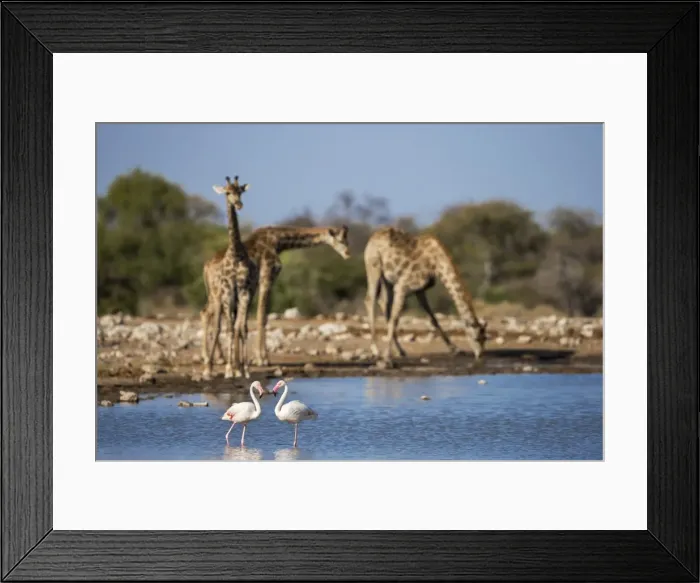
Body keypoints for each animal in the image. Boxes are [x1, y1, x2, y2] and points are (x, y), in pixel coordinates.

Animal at [200, 175, 258, 380]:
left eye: (240, 191)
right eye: (227, 192)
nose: (238, 205)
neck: (236, 254)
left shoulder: (244, 292)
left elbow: (241, 328)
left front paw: (243, 369)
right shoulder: (227, 293)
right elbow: (229, 329)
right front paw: (228, 369)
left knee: (232, 325)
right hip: (216, 296)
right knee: (214, 322)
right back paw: (208, 366)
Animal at [204, 225, 351, 366]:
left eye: (346, 238)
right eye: (341, 239)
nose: (348, 254)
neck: (277, 241)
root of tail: (206, 268)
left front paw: (253, 358)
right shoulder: (267, 277)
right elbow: (262, 316)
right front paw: (261, 359)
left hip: (216, 294)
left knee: (206, 314)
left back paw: (214, 358)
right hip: (220, 293)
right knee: (211, 316)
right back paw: (214, 358)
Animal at [363, 226, 488, 366]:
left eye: (485, 338)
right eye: (476, 338)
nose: (480, 356)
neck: (437, 264)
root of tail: (373, 237)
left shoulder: (419, 289)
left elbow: (433, 319)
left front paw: (455, 349)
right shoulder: (402, 286)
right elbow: (395, 320)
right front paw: (387, 359)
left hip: (388, 280)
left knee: (384, 303)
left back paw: (400, 350)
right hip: (374, 266)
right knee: (370, 300)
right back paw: (376, 350)